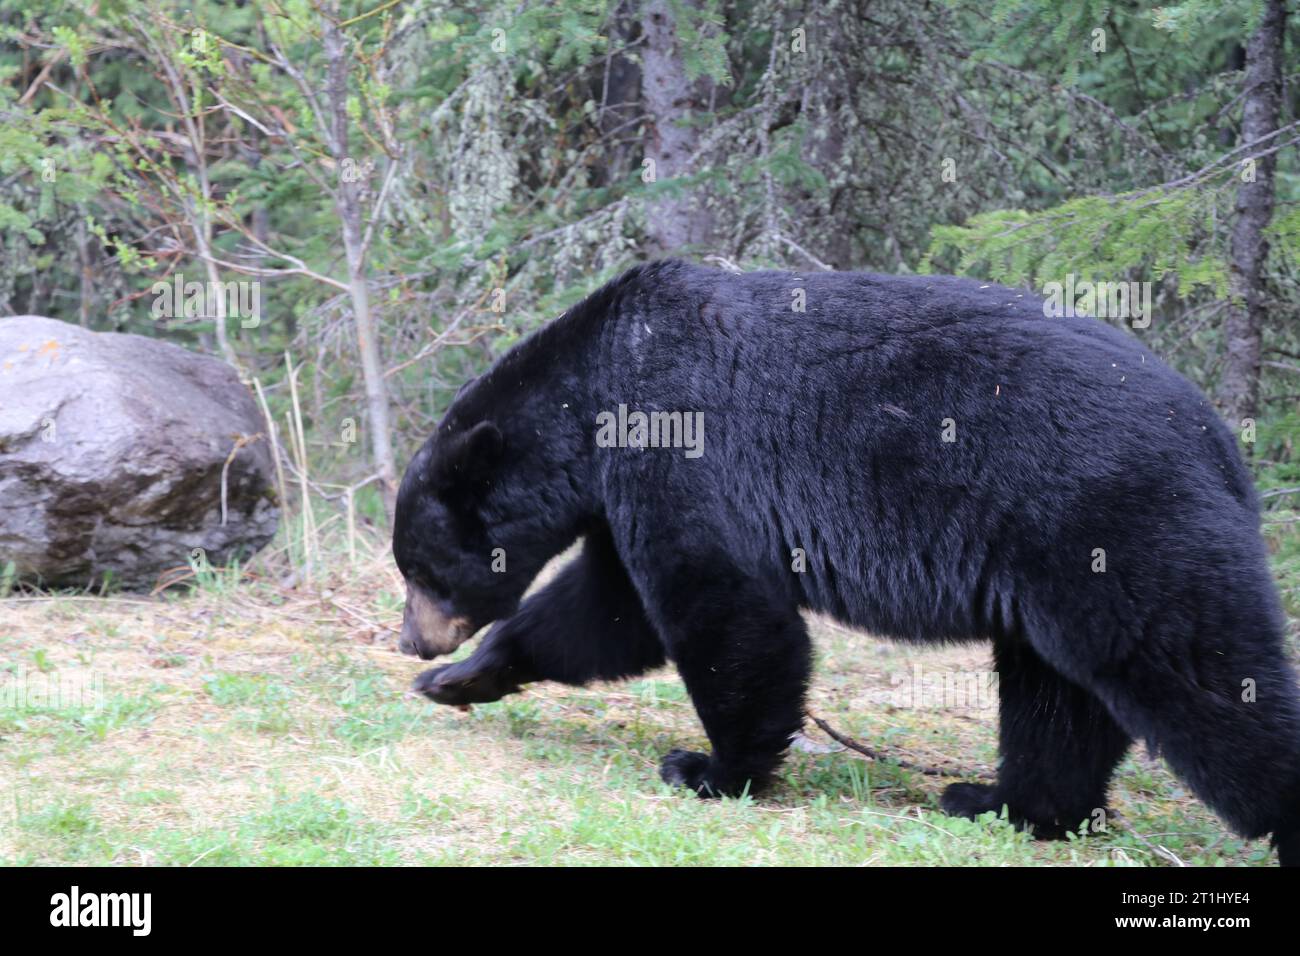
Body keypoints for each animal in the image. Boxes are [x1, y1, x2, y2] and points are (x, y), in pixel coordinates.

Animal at [392, 257, 1300, 863]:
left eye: (421, 571)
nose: (409, 639)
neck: (594, 396)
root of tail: (1221, 442)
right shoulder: (627, 491)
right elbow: (606, 612)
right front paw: (460, 679)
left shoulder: (682, 453)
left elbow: (723, 611)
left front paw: (710, 768)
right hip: (1062, 566)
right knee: (1057, 698)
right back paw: (1002, 802)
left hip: (1115, 522)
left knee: (1203, 676)